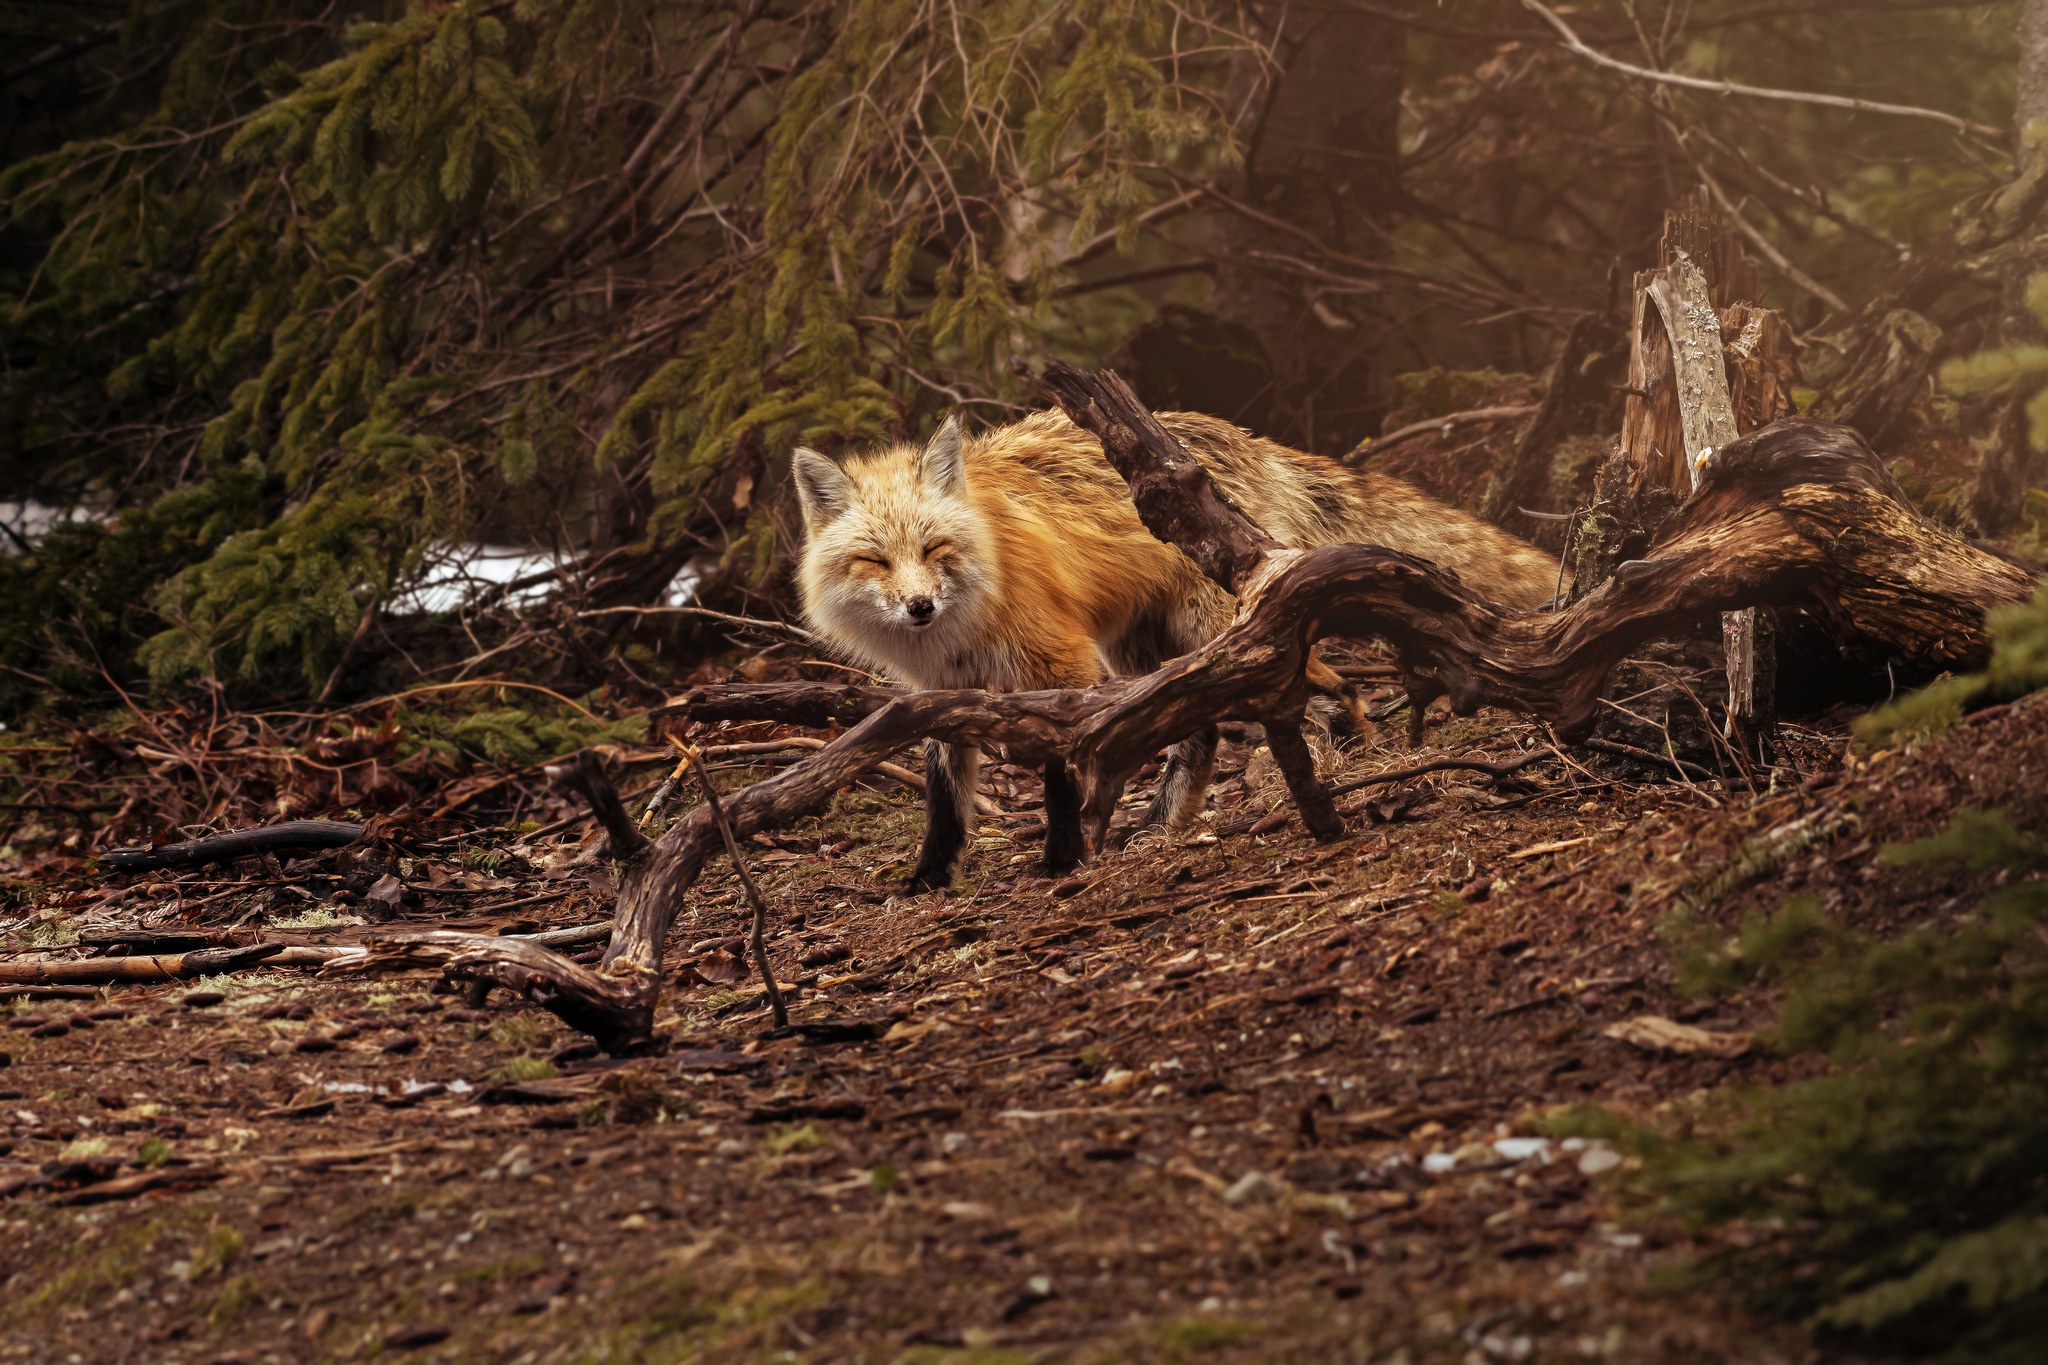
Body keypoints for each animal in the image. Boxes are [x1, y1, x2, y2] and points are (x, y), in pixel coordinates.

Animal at [790, 411, 1556, 892]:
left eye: (934, 549)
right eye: (874, 560)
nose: (920, 607)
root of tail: (1243, 437)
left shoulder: (1058, 663)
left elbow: (1061, 776)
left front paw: (1063, 857)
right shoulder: (937, 695)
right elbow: (946, 802)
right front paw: (931, 876)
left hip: (1217, 635)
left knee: (1315, 692)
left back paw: (1336, 772)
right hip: (1146, 653)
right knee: (1204, 731)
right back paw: (1168, 821)